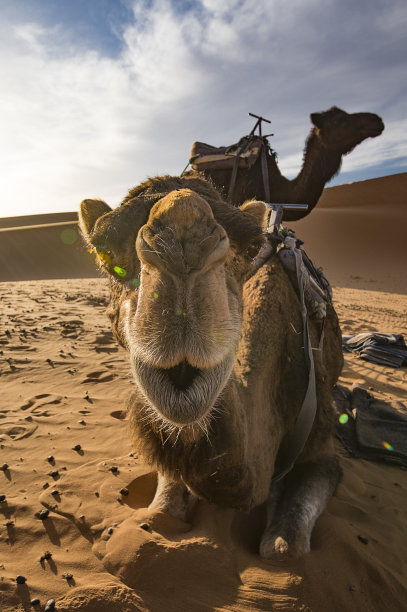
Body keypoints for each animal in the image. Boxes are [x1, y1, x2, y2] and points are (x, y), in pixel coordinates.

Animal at [79, 173, 344, 560]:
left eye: (252, 247)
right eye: (104, 253)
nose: (184, 239)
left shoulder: (323, 447)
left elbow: (283, 549)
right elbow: (162, 510)